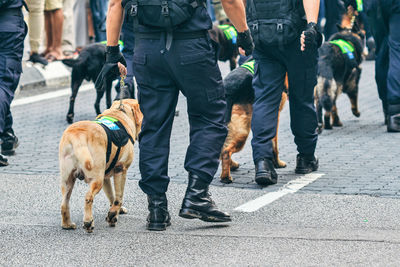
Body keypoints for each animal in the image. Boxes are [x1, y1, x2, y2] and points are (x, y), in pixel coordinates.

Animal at [57, 99, 142, 233]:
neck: (119, 112)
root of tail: (78, 135)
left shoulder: (106, 176)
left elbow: (111, 194)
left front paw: (116, 210)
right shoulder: (121, 169)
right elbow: (118, 196)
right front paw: (113, 214)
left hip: (68, 179)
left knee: (64, 203)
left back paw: (67, 224)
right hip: (96, 179)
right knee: (88, 197)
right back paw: (88, 222)